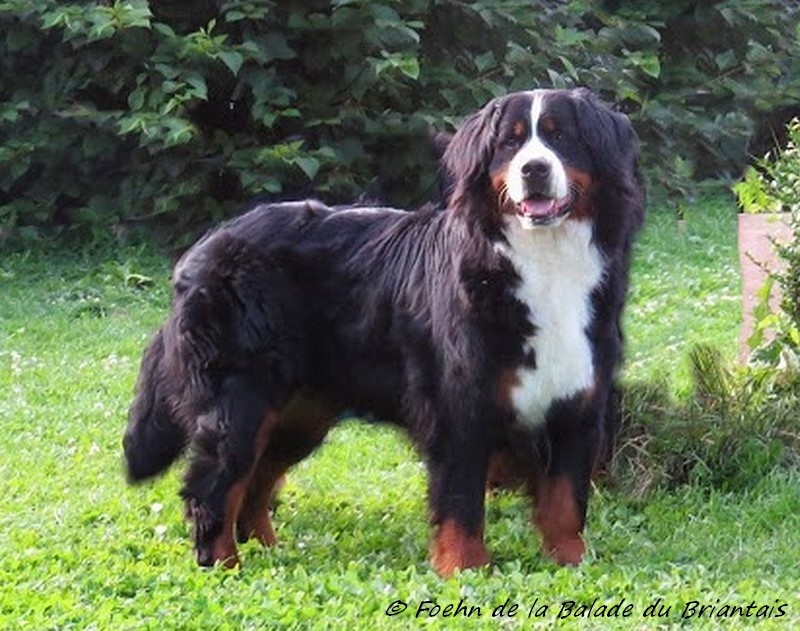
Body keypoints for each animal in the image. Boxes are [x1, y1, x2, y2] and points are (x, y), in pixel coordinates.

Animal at [123, 89, 644, 576]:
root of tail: (205, 246)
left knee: (256, 479)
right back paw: (224, 565)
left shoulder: (578, 401)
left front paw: (572, 561)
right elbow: (461, 501)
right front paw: (466, 569)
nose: (534, 168)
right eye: (510, 143)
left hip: (300, 411)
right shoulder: (461, 404)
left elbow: (565, 501)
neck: (543, 261)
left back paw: (270, 550)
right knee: (214, 484)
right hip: (239, 398)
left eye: (561, 137)